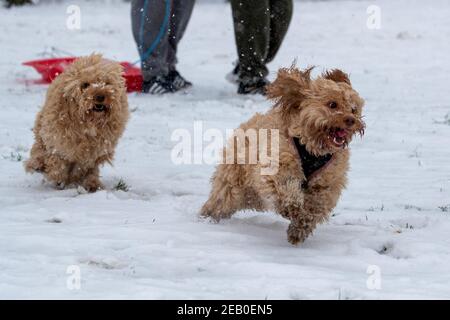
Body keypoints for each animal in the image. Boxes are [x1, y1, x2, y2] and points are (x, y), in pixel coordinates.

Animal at [25, 53, 129, 191]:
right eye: (85, 85)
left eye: (107, 83)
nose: (100, 96)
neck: (88, 122)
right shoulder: (57, 137)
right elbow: (57, 158)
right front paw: (55, 174)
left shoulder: (96, 149)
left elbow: (86, 166)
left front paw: (88, 181)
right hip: (42, 125)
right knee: (40, 147)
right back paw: (38, 164)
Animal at [202, 66, 364, 244]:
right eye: (332, 104)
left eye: (353, 109)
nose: (351, 120)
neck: (311, 148)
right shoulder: (278, 164)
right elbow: (286, 184)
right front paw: (292, 207)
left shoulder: (328, 181)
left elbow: (317, 204)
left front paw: (300, 227)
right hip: (234, 182)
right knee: (222, 199)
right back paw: (207, 216)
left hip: (251, 193)